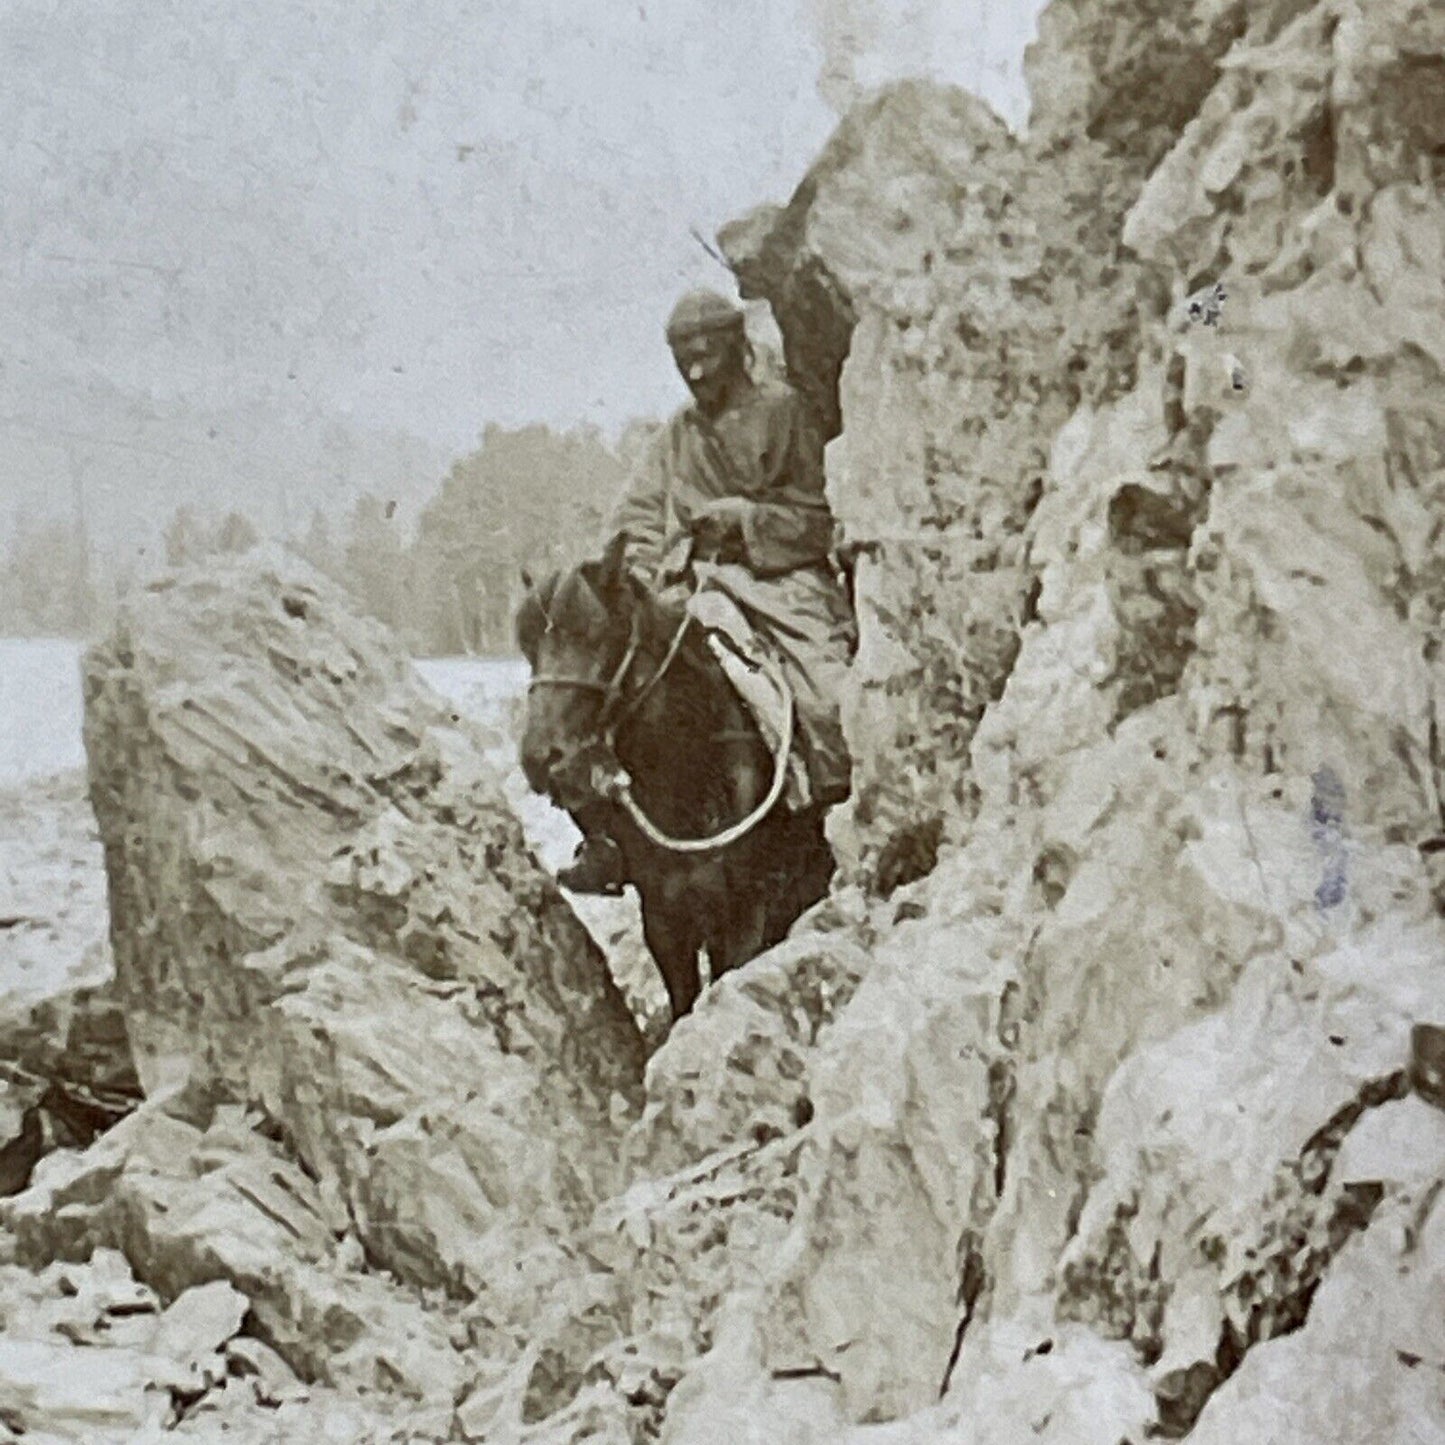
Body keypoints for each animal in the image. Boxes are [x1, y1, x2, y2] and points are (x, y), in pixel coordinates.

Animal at [517, 537, 838, 1023]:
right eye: (529, 647)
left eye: (595, 635)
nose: (540, 756)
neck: (689, 771)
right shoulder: (665, 919)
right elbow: (683, 1002)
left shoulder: (746, 914)